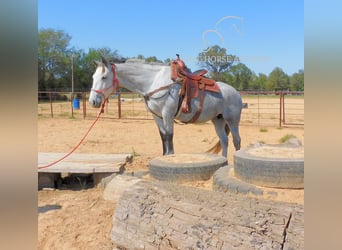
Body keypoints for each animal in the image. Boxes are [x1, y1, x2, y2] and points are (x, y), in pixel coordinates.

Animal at [89, 57, 242, 157]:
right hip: (218, 120)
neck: (154, 82)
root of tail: (235, 92)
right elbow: (163, 137)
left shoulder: (167, 114)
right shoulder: (157, 116)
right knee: (224, 141)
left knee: (237, 141)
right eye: (93, 77)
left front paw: (170, 157)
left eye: (104, 77)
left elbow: (169, 136)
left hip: (232, 120)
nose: (93, 101)